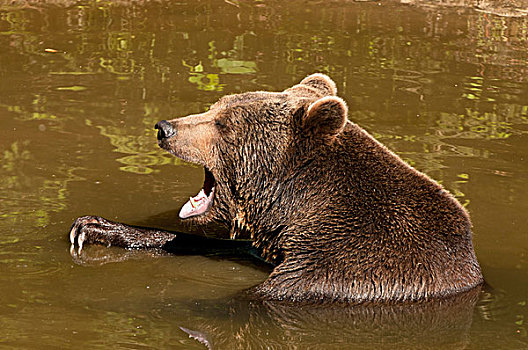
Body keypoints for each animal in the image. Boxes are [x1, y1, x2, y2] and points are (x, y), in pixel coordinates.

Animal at [69, 73, 482, 304]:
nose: (165, 128)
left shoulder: (349, 269)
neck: (299, 205)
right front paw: (95, 227)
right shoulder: (278, 245)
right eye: (214, 106)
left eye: (223, 124)